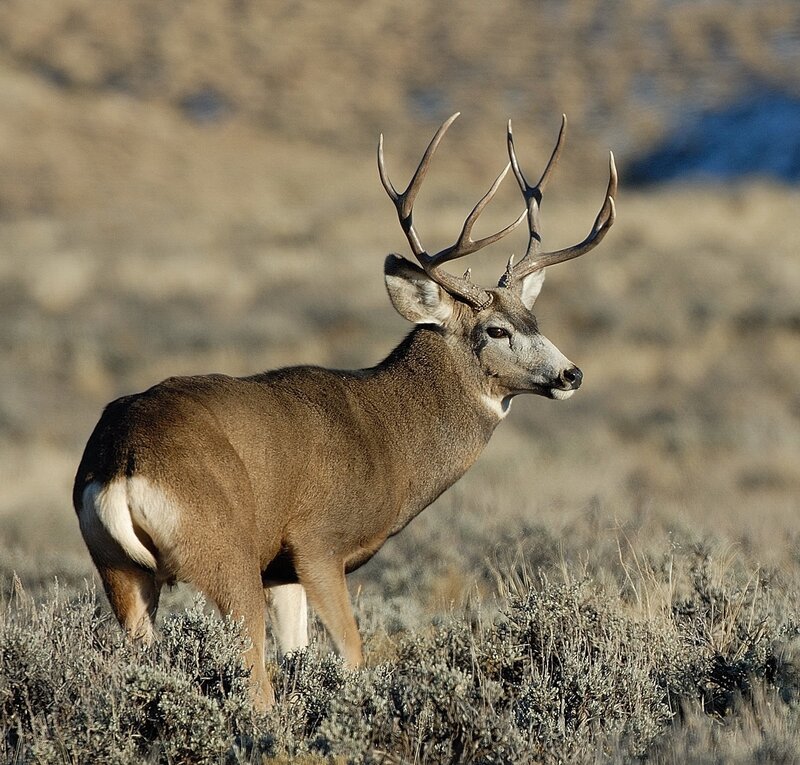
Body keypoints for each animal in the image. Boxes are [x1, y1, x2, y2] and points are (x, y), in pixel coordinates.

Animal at [73, 113, 616, 710]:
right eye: (496, 330)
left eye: (534, 319)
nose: (572, 375)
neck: (389, 439)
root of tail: (120, 463)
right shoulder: (317, 542)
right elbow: (351, 655)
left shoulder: (281, 570)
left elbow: (299, 654)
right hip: (224, 553)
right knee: (254, 676)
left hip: (119, 568)